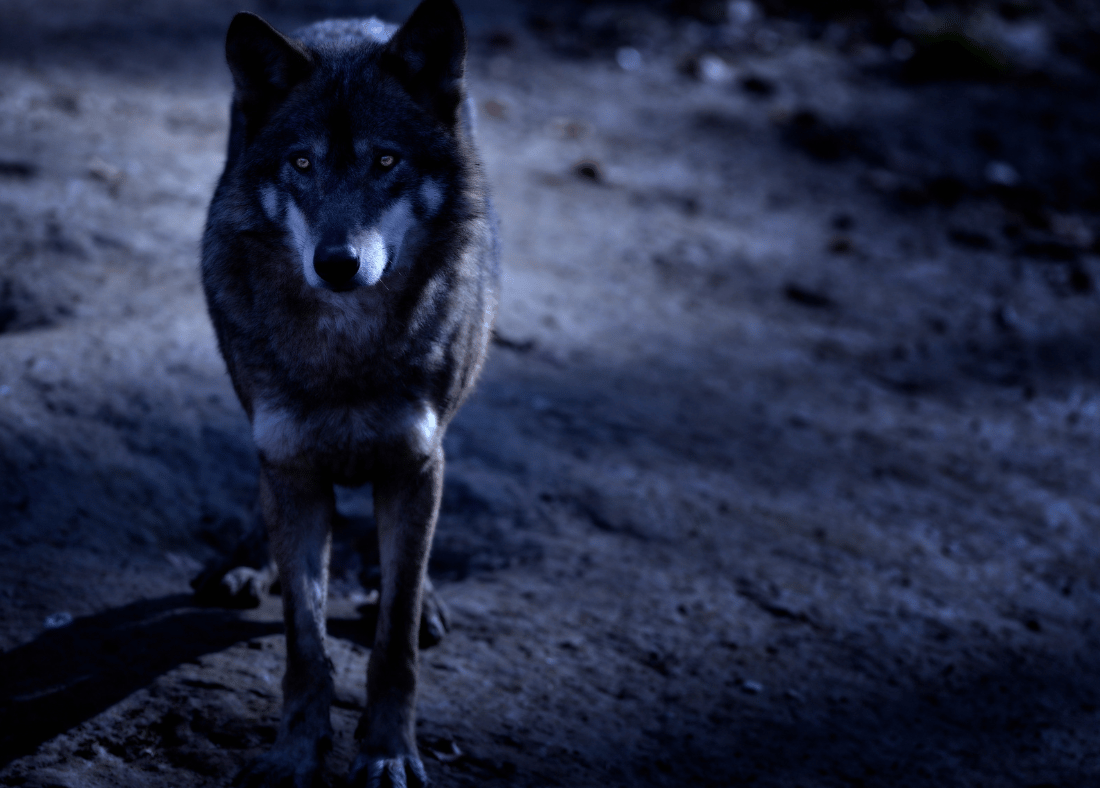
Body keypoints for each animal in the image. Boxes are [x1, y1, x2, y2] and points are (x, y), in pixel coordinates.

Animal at [200, 1, 499, 785]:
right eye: (302, 163)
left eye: (385, 161)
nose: (336, 263)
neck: (346, 349)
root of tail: (346, 20)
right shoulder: (293, 465)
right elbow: (304, 643)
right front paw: (295, 752)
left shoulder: (414, 463)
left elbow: (394, 643)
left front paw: (387, 752)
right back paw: (246, 564)